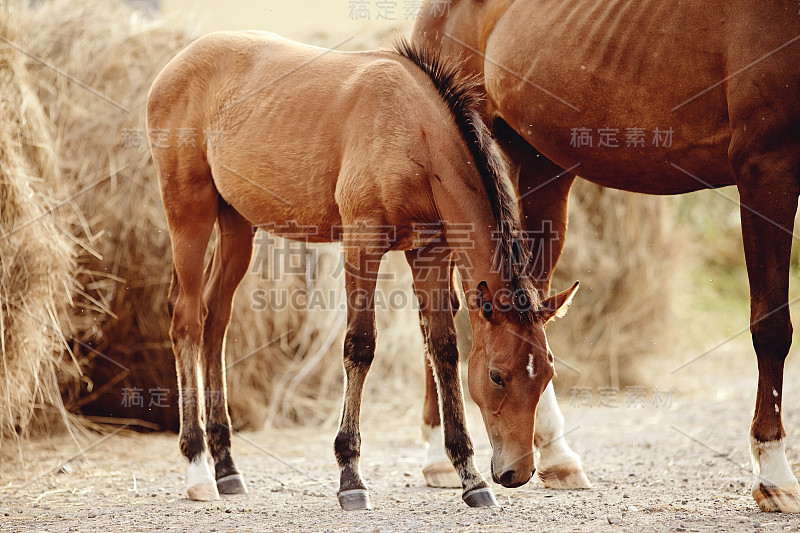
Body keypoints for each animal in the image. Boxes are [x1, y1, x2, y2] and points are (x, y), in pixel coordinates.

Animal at [147, 31, 580, 510]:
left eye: (546, 373)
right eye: (496, 377)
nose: (516, 473)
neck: (415, 132)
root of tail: (178, 61)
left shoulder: (430, 252)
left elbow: (444, 350)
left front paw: (470, 477)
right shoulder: (362, 244)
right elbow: (360, 345)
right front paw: (351, 477)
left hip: (237, 224)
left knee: (215, 319)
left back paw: (226, 467)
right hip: (190, 212)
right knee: (187, 319)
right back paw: (198, 468)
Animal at [412, 1, 800, 516]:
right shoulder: (766, 169)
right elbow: (772, 326)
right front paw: (775, 475)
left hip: (541, 168)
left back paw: (556, 455)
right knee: (440, 311)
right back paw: (439, 457)